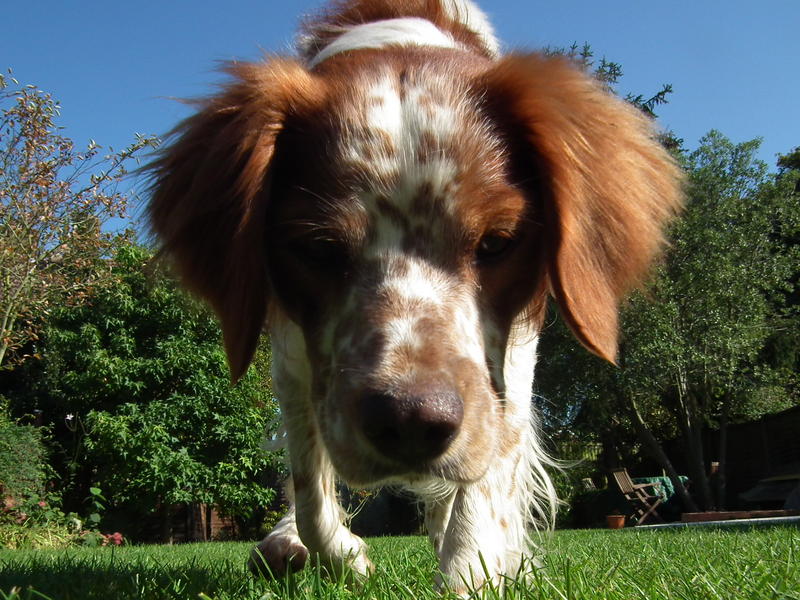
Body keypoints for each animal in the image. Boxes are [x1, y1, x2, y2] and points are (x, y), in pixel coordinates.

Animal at [148, 0, 680, 592]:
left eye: (497, 241)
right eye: (317, 247)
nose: (410, 422)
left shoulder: (514, 358)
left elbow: (481, 489)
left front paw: (473, 569)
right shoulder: (293, 360)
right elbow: (310, 491)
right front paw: (343, 553)